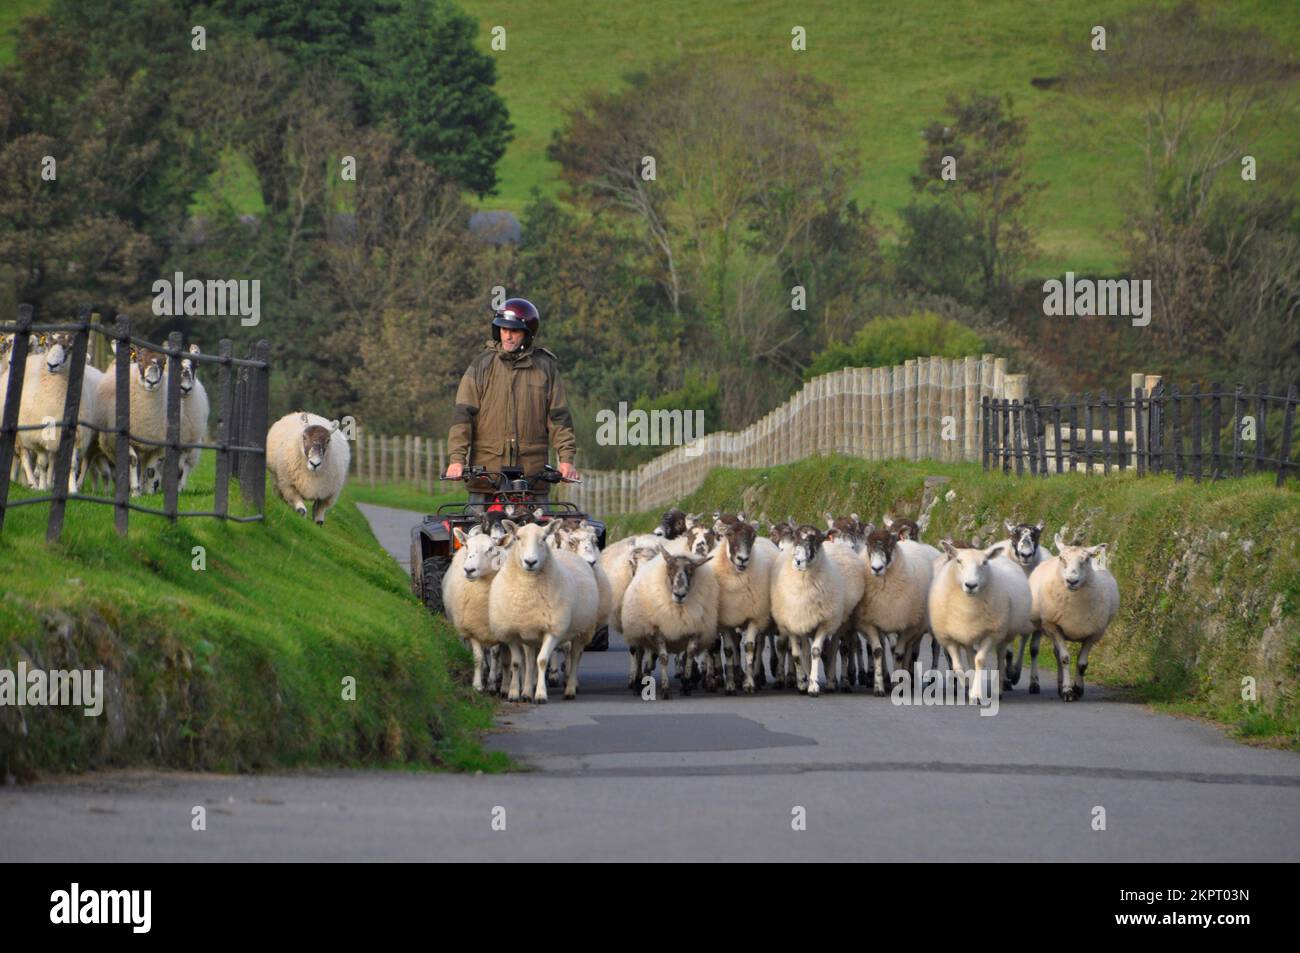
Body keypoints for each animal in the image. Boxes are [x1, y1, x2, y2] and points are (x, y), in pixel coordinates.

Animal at [1029, 527, 1123, 696]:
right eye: (1062, 558)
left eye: (1085, 559)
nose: (1072, 581)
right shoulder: (1054, 626)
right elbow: (1065, 658)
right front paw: (1068, 691)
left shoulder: (1094, 633)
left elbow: (1082, 663)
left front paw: (1077, 689)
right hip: (1040, 624)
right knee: (1036, 650)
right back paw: (1035, 684)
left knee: (1055, 653)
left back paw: (1060, 685)